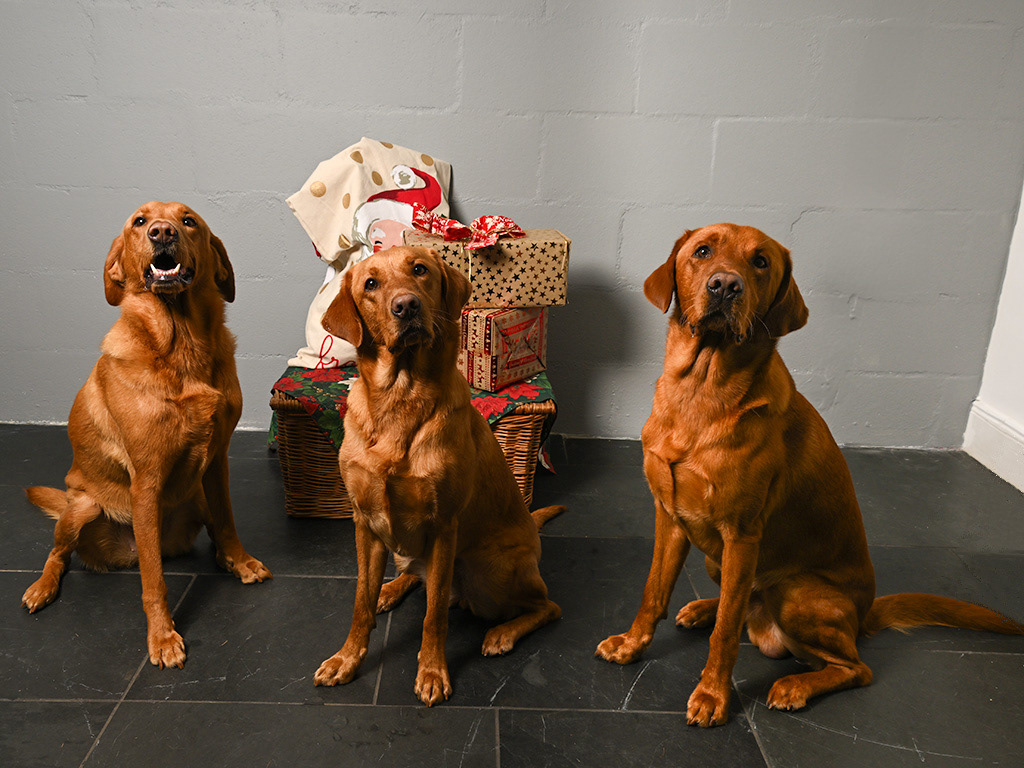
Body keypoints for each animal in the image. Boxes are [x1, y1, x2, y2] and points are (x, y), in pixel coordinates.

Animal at [22, 201, 271, 669]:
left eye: (189, 221)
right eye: (139, 222)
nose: (162, 232)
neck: (182, 344)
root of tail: (123, 555)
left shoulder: (218, 462)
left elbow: (228, 521)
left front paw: (241, 561)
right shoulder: (147, 480)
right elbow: (154, 580)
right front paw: (162, 636)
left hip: (195, 494)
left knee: (208, 532)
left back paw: (224, 558)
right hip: (81, 506)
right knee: (59, 553)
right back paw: (42, 587)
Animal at [312, 246, 563, 706]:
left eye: (420, 270)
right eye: (370, 284)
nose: (406, 306)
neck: (400, 395)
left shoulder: (445, 525)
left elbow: (433, 616)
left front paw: (431, 672)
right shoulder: (364, 522)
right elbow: (359, 601)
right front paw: (346, 658)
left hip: (488, 571)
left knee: (544, 605)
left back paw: (502, 633)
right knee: (415, 575)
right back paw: (390, 589)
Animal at [596, 223, 1023, 726]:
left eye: (760, 262)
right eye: (702, 251)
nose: (725, 285)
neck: (700, 390)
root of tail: (863, 616)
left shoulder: (742, 534)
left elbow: (725, 635)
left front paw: (713, 695)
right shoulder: (669, 516)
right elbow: (653, 593)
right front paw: (631, 644)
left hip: (793, 590)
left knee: (852, 667)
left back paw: (794, 685)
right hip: (718, 560)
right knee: (739, 606)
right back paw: (704, 608)